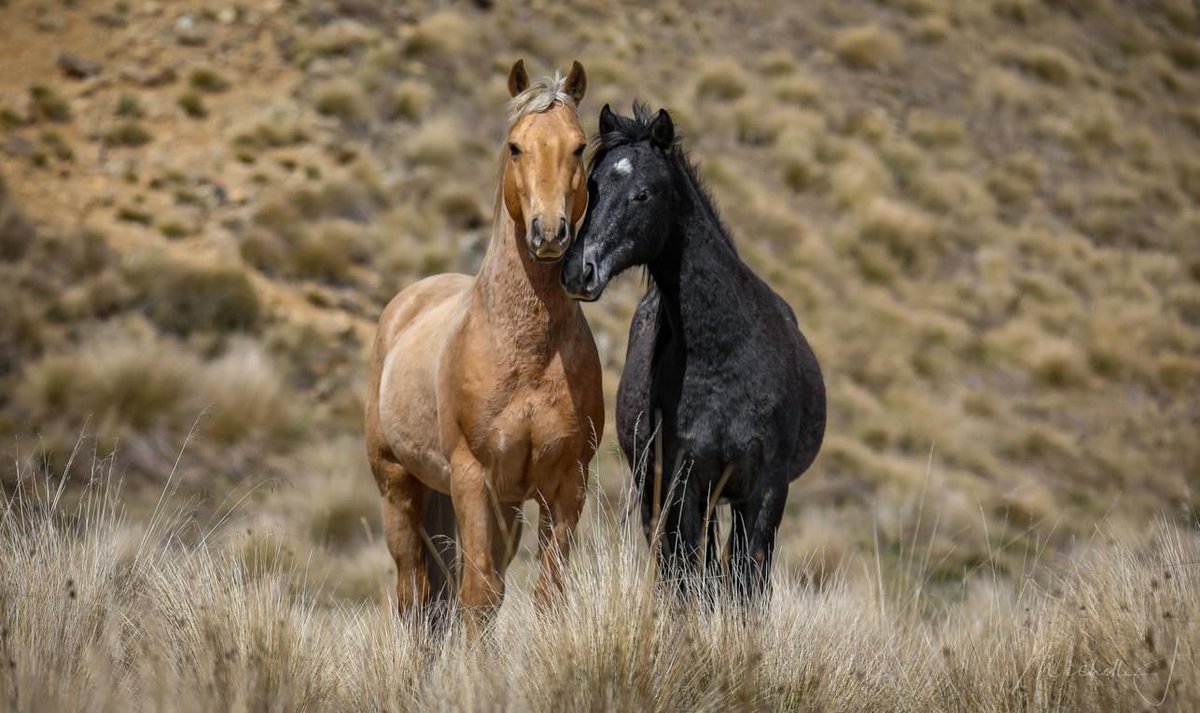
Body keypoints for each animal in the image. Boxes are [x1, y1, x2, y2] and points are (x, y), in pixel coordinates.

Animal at [365, 60, 603, 625]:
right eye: (515, 146)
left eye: (579, 147)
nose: (549, 233)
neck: (527, 354)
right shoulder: (473, 479)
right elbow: (477, 596)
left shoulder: (567, 485)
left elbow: (547, 596)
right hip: (398, 486)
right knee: (414, 595)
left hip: (502, 507)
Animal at [560, 103, 825, 598]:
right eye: (593, 186)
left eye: (643, 194)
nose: (577, 271)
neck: (724, 359)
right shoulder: (686, 483)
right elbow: (687, 575)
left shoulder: (765, 490)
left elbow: (748, 582)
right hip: (656, 491)